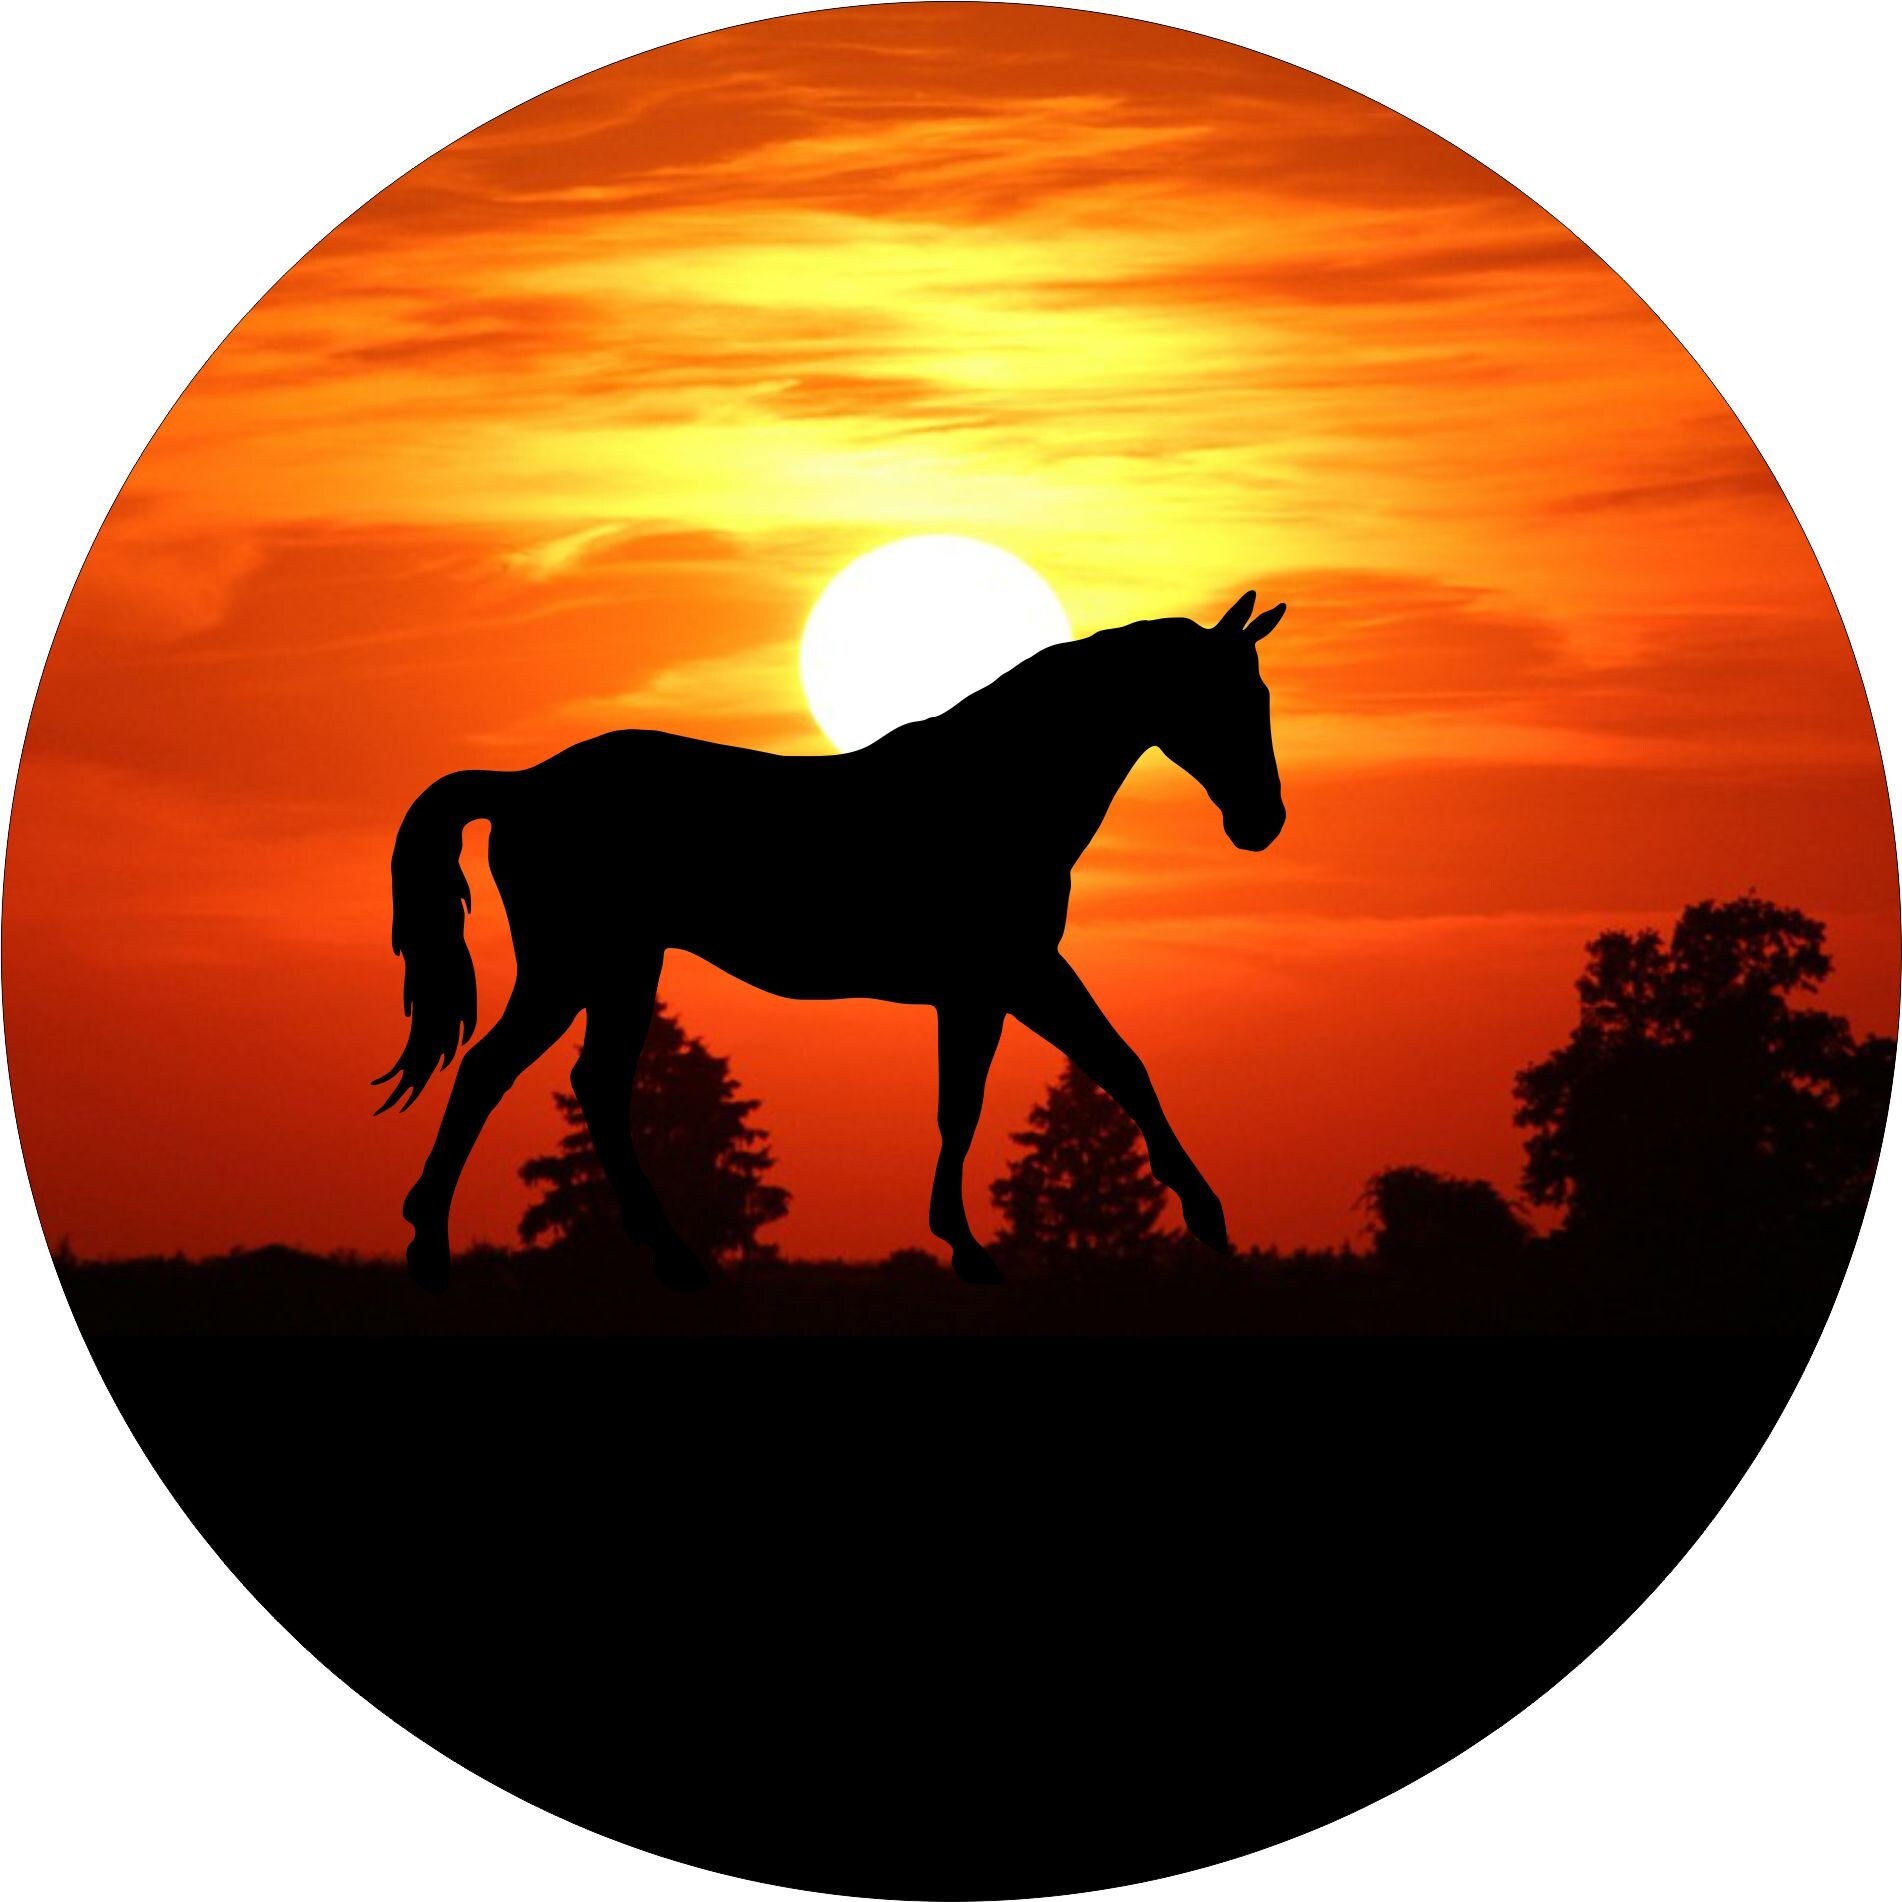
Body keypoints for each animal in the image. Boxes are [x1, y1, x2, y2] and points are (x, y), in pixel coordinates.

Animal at [377, 587, 1287, 1289]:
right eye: (1231, 699)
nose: (1264, 823)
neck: (998, 787)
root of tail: (523, 784)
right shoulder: (1011, 975)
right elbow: (1075, 1076)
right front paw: (1199, 1216)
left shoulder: (992, 986)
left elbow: (1017, 1090)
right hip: (576, 968)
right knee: (496, 1072)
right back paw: (434, 1247)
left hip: (618, 971)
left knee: (587, 1086)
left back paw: (666, 1259)